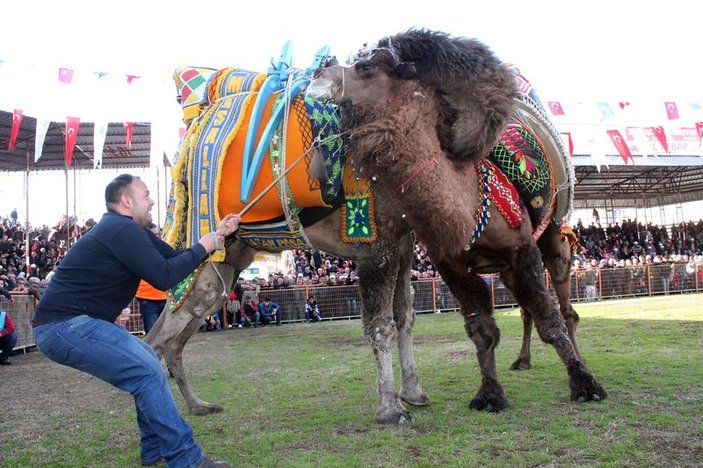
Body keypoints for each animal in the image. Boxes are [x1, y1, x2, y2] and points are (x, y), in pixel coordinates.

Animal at [147, 28, 604, 424]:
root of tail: (191, 136)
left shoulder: (402, 244)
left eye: (365, 67)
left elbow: (406, 317)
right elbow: (381, 325)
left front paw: (414, 393)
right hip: (203, 243)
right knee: (163, 332)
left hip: (230, 252)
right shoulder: (376, 248)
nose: (320, 70)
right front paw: (390, 408)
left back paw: (198, 406)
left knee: (174, 330)